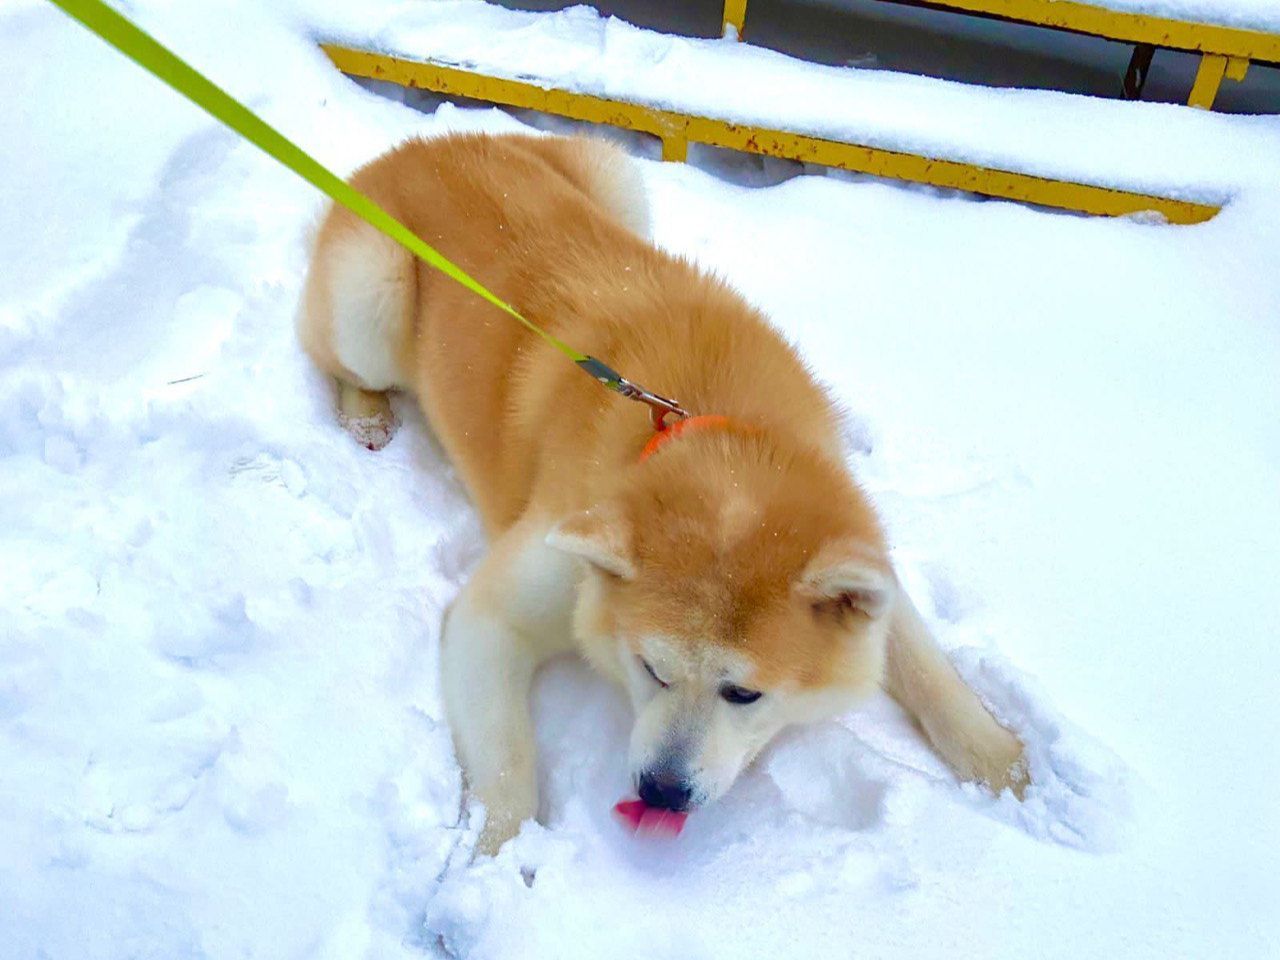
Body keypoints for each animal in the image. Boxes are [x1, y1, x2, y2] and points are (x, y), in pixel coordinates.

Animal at [294, 129, 1024, 855]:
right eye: (652, 669)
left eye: (744, 694)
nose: (661, 792)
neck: (716, 436)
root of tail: (423, 142)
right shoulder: (503, 608)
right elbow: (505, 760)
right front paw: (499, 854)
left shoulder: (857, 545)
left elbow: (924, 662)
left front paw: (998, 758)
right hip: (372, 290)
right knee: (341, 360)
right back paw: (366, 412)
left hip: (617, 183)